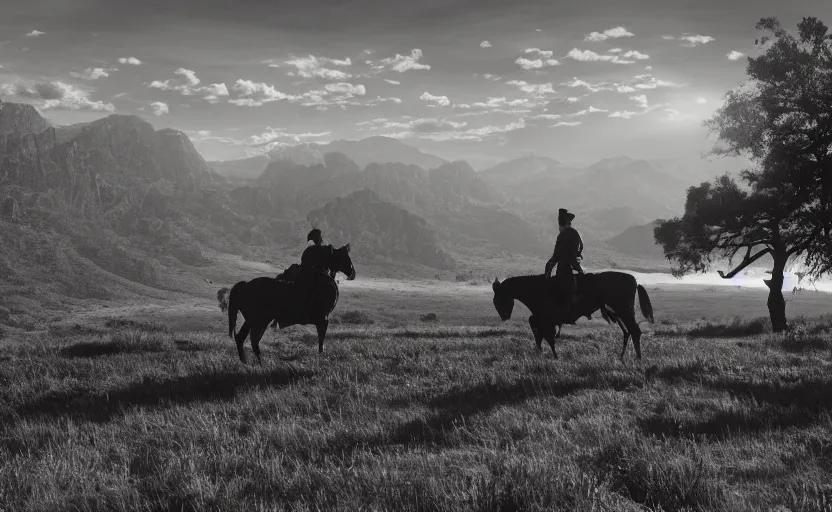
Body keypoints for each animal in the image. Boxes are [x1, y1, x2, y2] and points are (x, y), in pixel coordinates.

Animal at [216, 245, 356, 362]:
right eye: (344, 257)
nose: (352, 273)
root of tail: (245, 285)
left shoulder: (322, 320)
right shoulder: (323, 319)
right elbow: (321, 340)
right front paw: (322, 355)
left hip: (251, 321)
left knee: (241, 338)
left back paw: (245, 363)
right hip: (260, 321)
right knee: (254, 341)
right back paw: (261, 363)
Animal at [490, 272, 652, 360]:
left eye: (497, 298)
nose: (504, 316)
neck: (536, 288)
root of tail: (634, 280)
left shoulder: (545, 321)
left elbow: (547, 338)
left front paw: (554, 356)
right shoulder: (540, 320)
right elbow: (540, 336)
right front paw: (541, 354)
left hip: (624, 312)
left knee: (634, 331)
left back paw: (638, 358)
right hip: (618, 314)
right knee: (627, 332)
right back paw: (622, 356)